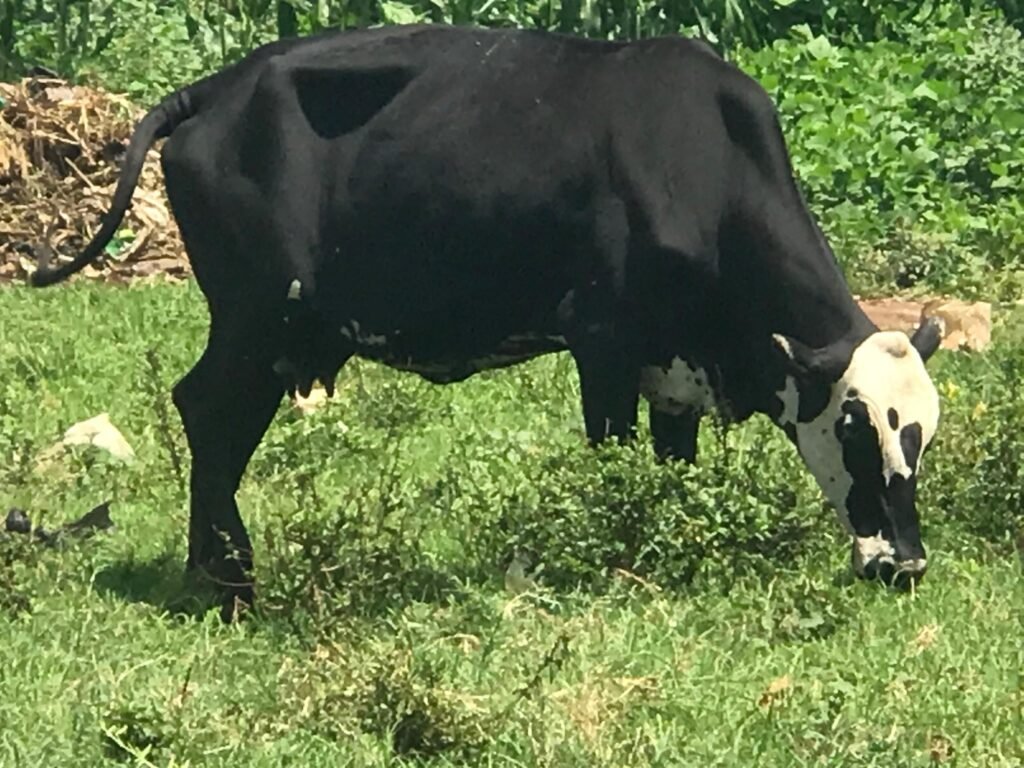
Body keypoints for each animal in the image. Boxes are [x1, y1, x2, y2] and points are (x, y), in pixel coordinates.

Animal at [31, 24, 943, 617]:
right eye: (856, 428)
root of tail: (215, 90)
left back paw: (211, 577)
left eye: (922, 436)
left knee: (217, 418)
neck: (697, 160)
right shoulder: (602, 340)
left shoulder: (673, 364)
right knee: (210, 412)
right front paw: (611, 558)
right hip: (256, 318)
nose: (905, 564)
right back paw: (230, 585)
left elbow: (669, 464)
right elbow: (611, 458)